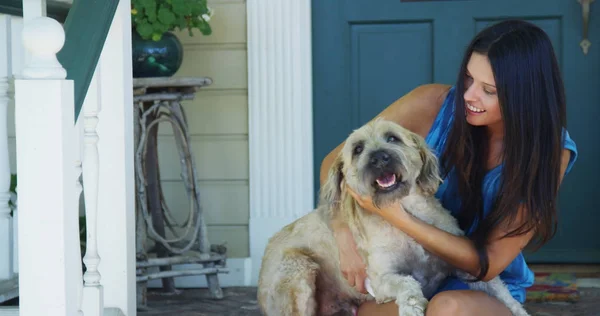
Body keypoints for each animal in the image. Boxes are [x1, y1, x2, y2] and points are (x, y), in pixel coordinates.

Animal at [258, 119, 528, 316]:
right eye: (358, 149)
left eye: (392, 138)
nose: (379, 157)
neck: (407, 214)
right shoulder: (380, 279)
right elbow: (407, 283)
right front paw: (412, 307)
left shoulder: (468, 267)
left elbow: (502, 293)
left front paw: (517, 309)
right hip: (298, 273)